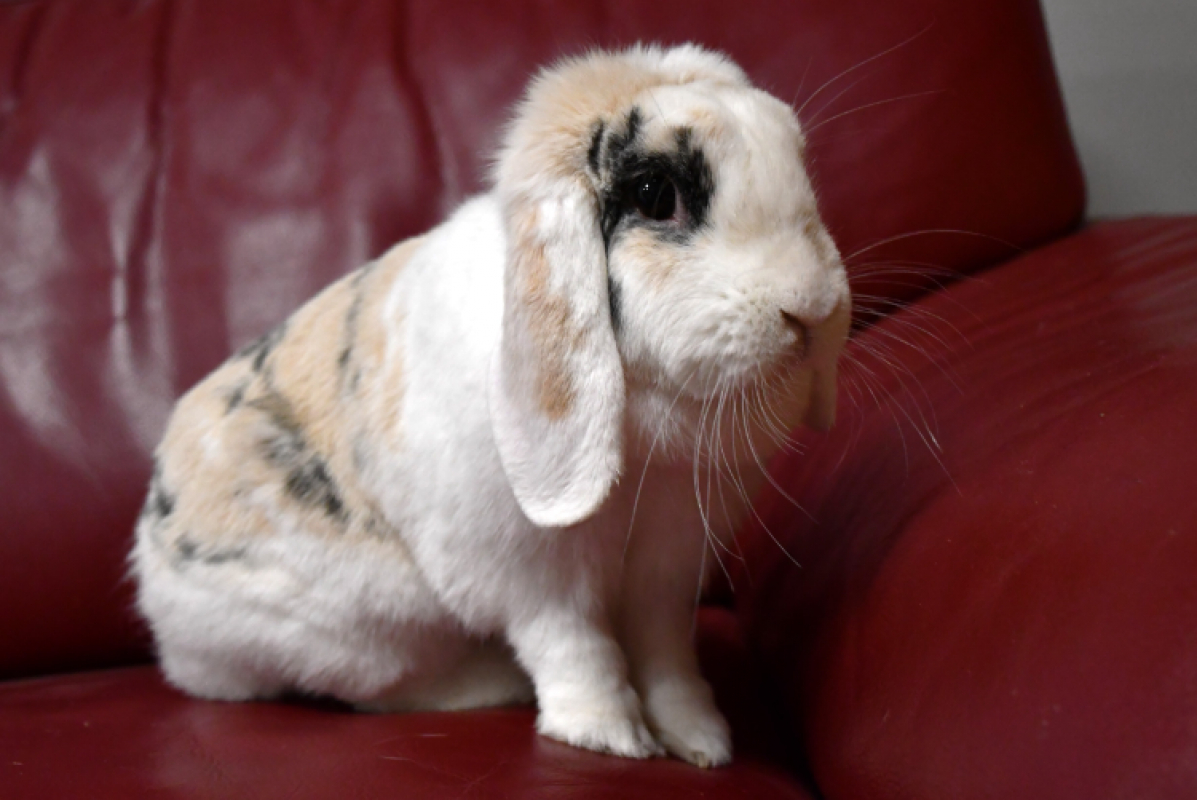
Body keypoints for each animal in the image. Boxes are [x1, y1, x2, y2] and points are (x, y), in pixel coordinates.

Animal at [130, 43, 850, 768]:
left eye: (796, 154)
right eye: (655, 193)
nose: (811, 308)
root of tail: (162, 612)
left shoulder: (666, 567)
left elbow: (666, 655)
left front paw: (702, 741)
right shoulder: (536, 578)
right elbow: (575, 647)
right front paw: (608, 737)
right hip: (367, 627)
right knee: (382, 688)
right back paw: (490, 682)